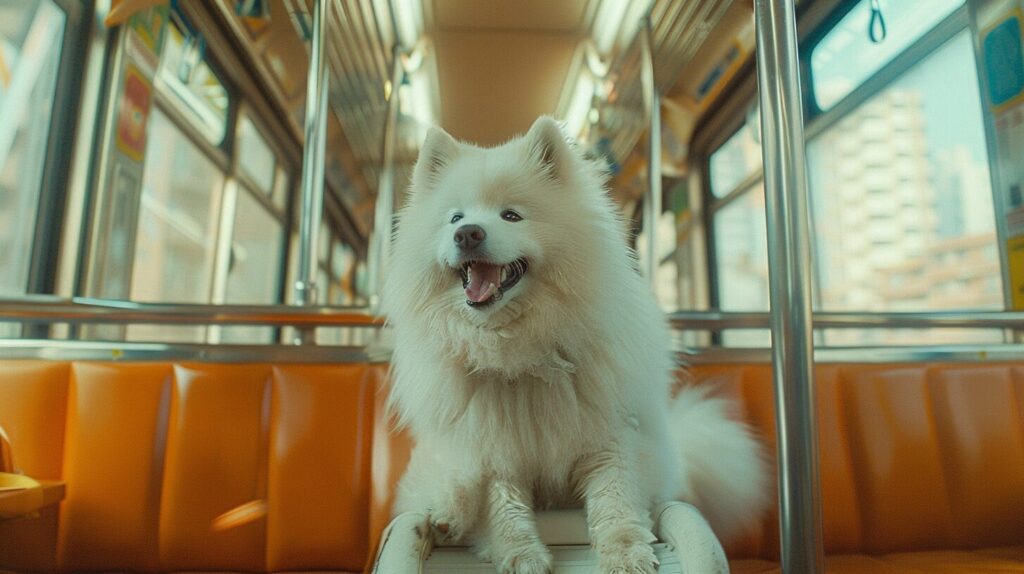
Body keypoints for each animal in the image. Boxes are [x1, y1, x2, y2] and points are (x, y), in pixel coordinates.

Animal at [385, 117, 770, 572]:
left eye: (511, 215)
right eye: (455, 218)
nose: (467, 234)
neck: (519, 353)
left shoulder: (609, 435)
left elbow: (614, 499)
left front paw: (627, 552)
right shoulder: (496, 451)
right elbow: (504, 509)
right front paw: (521, 554)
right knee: (449, 482)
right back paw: (445, 513)